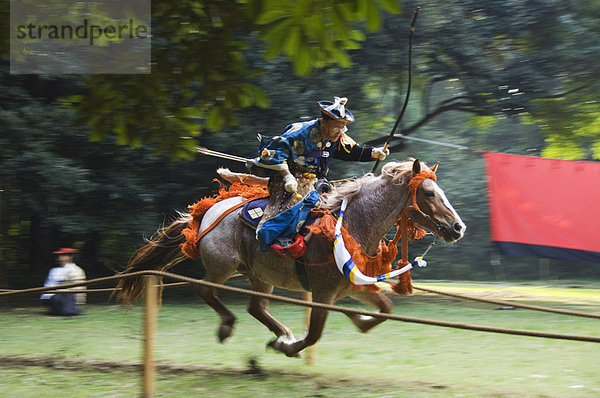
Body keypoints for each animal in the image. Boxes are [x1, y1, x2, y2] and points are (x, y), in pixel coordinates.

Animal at [116, 159, 464, 358]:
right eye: (429, 193)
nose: (458, 227)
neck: (352, 224)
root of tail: (203, 215)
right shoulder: (323, 293)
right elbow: (315, 334)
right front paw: (289, 348)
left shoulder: (353, 287)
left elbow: (384, 311)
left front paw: (355, 319)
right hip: (223, 266)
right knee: (206, 290)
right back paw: (232, 327)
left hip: (259, 275)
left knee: (256, 307)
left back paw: (281, 333)